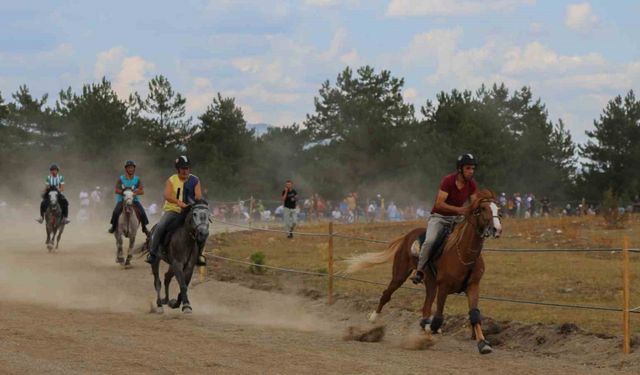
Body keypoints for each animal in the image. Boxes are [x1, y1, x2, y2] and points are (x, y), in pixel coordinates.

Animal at [344, 191, 500, 356]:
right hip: (400, 275)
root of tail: (407, 236)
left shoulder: (473, 286)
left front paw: (483, 344)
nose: (497, 229)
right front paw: (429, 329)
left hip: (430, 283)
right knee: (387, 294)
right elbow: (438, 318)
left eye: (498, 209)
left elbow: (474, 314)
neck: (464, 254)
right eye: (482, 209)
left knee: (425, 307)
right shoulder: (444, 287)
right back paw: (374, 319)